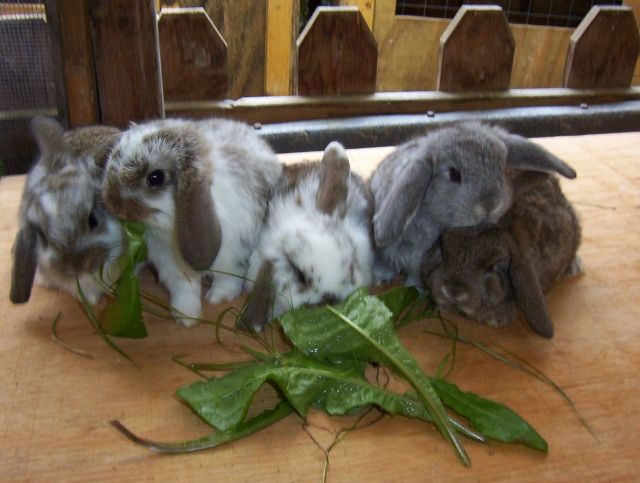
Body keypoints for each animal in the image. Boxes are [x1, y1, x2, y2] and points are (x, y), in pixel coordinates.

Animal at [101, 118, 283, 327]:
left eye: (155, 178)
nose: (112, 203)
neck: (170, 224)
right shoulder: (172, 265)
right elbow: (184, 290)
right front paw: (185, 317)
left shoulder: (233, 256)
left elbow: (226, 281)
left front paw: (217, 298)